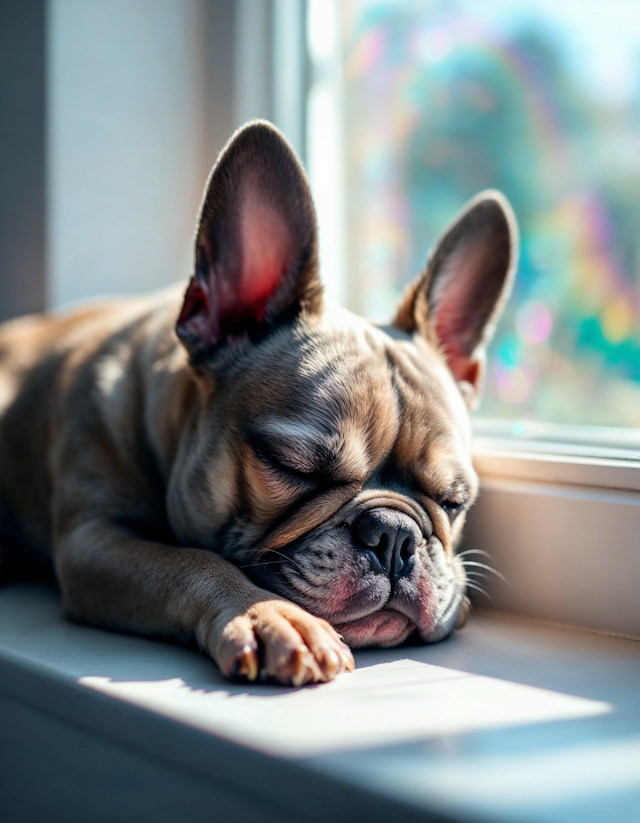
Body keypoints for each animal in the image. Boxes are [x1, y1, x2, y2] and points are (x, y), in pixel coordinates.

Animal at [0, 122, 516, 688]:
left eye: (454, 501)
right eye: (291, 466)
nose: (394, 537)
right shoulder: (93, 542)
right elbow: (191, 561)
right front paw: (269, 616)